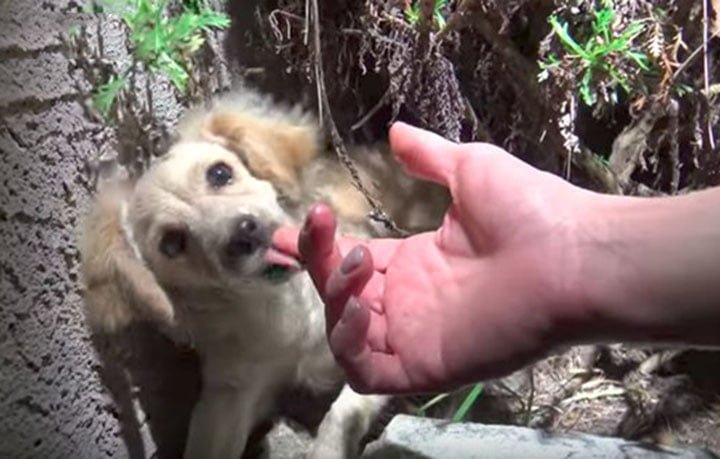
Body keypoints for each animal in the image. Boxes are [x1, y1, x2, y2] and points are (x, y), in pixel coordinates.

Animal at [79, 88, 450, 458]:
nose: (244, 233)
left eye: (219, 173)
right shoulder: (231, 393)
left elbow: (345, 410)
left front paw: (327, 450)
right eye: (171, 243)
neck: (291, 306)